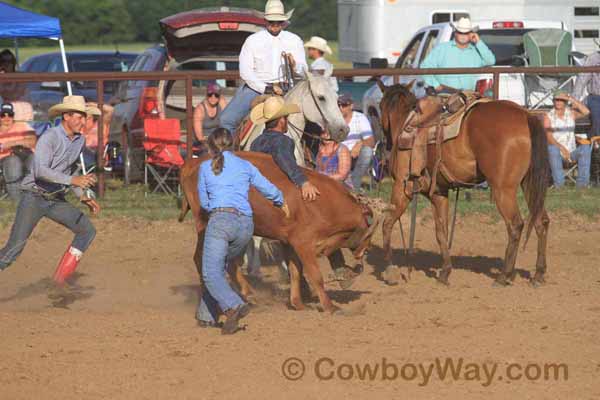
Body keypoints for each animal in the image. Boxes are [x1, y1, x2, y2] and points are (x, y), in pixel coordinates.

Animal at [378, 81, 552, 286]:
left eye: (380, 106)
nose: (387, 143)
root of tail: (526, 115)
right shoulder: (438, 193)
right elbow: (441, 232)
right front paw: (445, 272)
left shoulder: (401, 187)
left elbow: (387, 223)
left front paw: (389, 270)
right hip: (529, 185)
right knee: (541, 221)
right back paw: (539, 274)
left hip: (503, 189)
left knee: (515, 225)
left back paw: (504, 275)